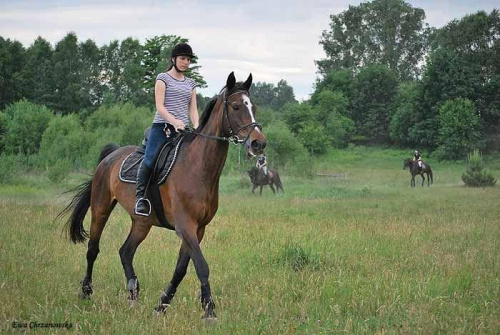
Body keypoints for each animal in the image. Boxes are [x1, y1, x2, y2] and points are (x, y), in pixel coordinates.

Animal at [58, 73, 266, 320]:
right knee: (93, 249)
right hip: (101, 209)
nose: (259, 143)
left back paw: (133, 292)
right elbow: (201, 266)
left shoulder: (198, 229)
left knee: (126, 251)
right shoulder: (185, 226)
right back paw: (87, 291)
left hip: (142, 222)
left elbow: (181, 269)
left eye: (253, 106)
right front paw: (209, 310)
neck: (198, 168)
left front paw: (162, 305)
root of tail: (111, 156)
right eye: (235, 106)